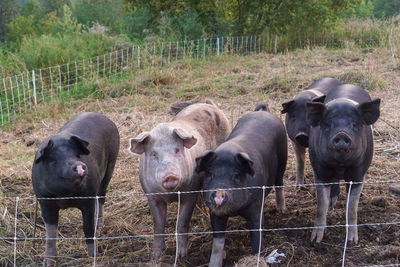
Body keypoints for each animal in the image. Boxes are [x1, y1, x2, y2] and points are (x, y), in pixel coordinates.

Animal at [31, 112, 119, 266]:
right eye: (53, 159)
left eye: (77, 155)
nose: (78, 165)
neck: (65, 195)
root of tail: (103, 117)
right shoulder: (44, 202)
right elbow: (51, 233)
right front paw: (47, 262)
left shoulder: (88, 199)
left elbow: (88, 227)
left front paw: (93, 256)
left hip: (111, 164)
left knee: (101, 196)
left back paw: (99, 226)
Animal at [130, 100, 230, 260]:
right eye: (153, 154)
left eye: (177, 150)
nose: (170, 175)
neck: (170, 194)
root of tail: (209, 104)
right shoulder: (151, 196)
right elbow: (158, 224)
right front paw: (156, 256)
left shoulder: (190, 192)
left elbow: (182, 221)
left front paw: (181, 255)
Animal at [195, 104, 286, 266]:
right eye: (210, 174)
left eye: (236, 175)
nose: (219, 192)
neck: (236, 211)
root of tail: (264, 112)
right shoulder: (214, 213)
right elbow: (218, 242)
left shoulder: (257, 206)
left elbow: (257, 236)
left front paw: (257, 259)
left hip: (283, 157)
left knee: (279, 183)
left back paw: (281, 210)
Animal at [306, 85, 382, 244]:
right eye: (329, 124)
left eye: (354, 124)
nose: (341, 134)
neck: (340, 165)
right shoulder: (320, 171)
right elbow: (321, 205)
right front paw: (315, 240)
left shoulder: (358, 172)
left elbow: (352, 206)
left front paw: (352, 241)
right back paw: (332, 201)